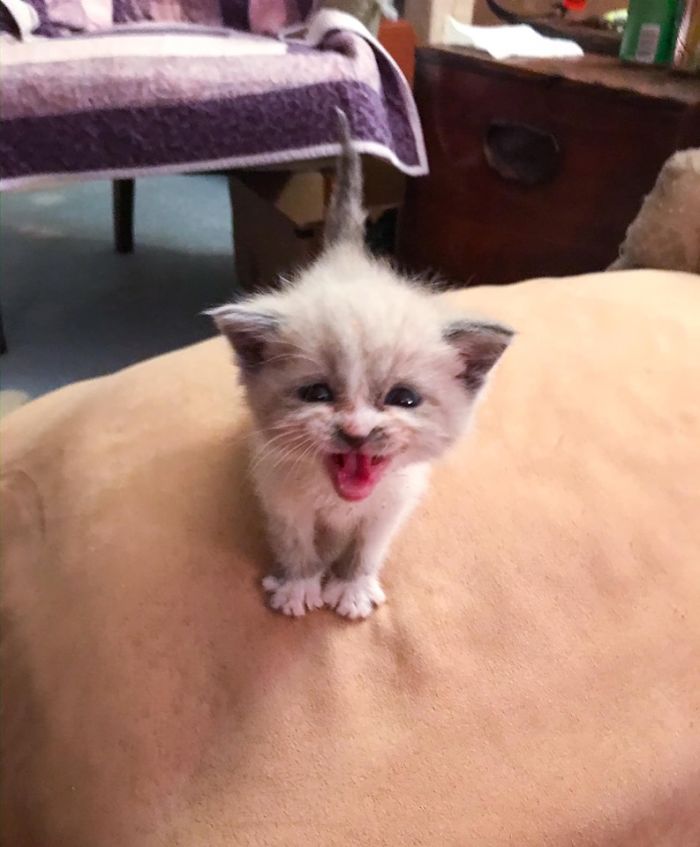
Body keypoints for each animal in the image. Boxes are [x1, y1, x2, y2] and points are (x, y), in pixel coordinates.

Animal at [209, 109, 516, 620]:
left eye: (403, 399)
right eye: (317, 393)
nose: (356, 431)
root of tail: (348, 257)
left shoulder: (393, 502)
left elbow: (368, 546)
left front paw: (351, 588)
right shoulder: (280, 494)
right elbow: (295, 543)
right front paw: (299, 586)